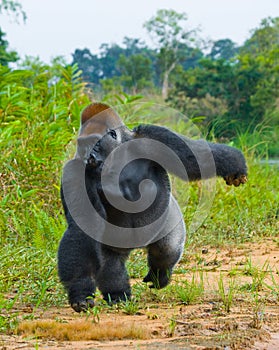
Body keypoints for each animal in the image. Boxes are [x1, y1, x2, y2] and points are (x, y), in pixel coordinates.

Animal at [58, 102, 248, 314]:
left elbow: (194, 159)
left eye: (94, 143)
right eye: (82, 145)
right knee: (110, 262)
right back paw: (118, 294)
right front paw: (81, 293)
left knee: (167, 249)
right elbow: (82, 227)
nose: (88, 156)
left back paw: (159, 275)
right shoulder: (74, 170)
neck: (116, 154)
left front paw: (235, 166)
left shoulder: (153, 136)